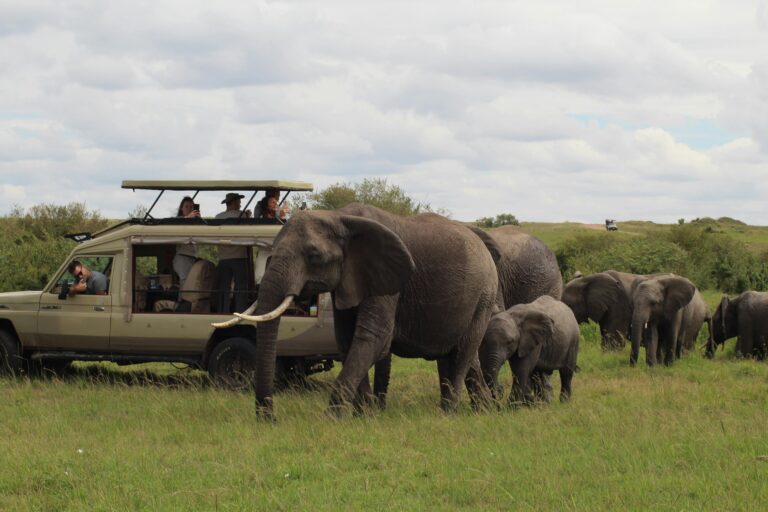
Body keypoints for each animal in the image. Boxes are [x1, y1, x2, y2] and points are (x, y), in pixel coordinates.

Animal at [214, 203, 499, 419]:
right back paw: (484, 411)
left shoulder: (387, 280)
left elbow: (374, 337)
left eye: (314, 255)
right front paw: (364, 416)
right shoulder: (350, 280)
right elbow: (346, 339)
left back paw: (448, 413)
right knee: (459, 354)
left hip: (484, 295)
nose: (269, 418)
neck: (339, 216)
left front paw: (332, 419)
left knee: (462, 353)